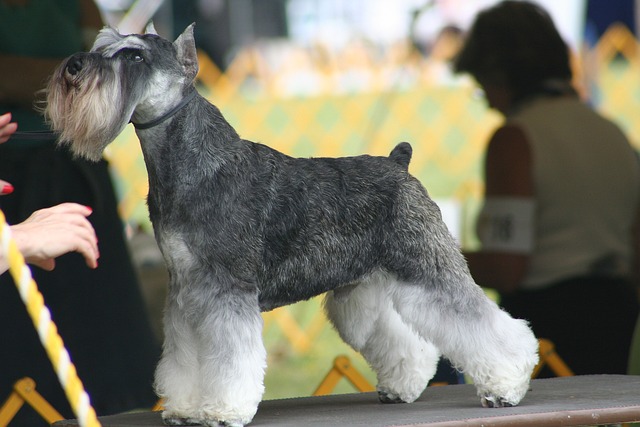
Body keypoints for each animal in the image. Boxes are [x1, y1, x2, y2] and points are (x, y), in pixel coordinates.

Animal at [42, 24, 536, 427]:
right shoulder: (184, 292)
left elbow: (228, 359)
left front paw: (222, 410)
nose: (73, 67)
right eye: (103, 45)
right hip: (363, 289)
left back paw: (507, 386)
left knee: (486, 325)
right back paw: (403, 387)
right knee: (405, 339)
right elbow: (184, 357)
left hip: (428, 269)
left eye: (135, 56)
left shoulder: (226, 292)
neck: (191, 164)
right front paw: (184, 406)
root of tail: (399, 164)